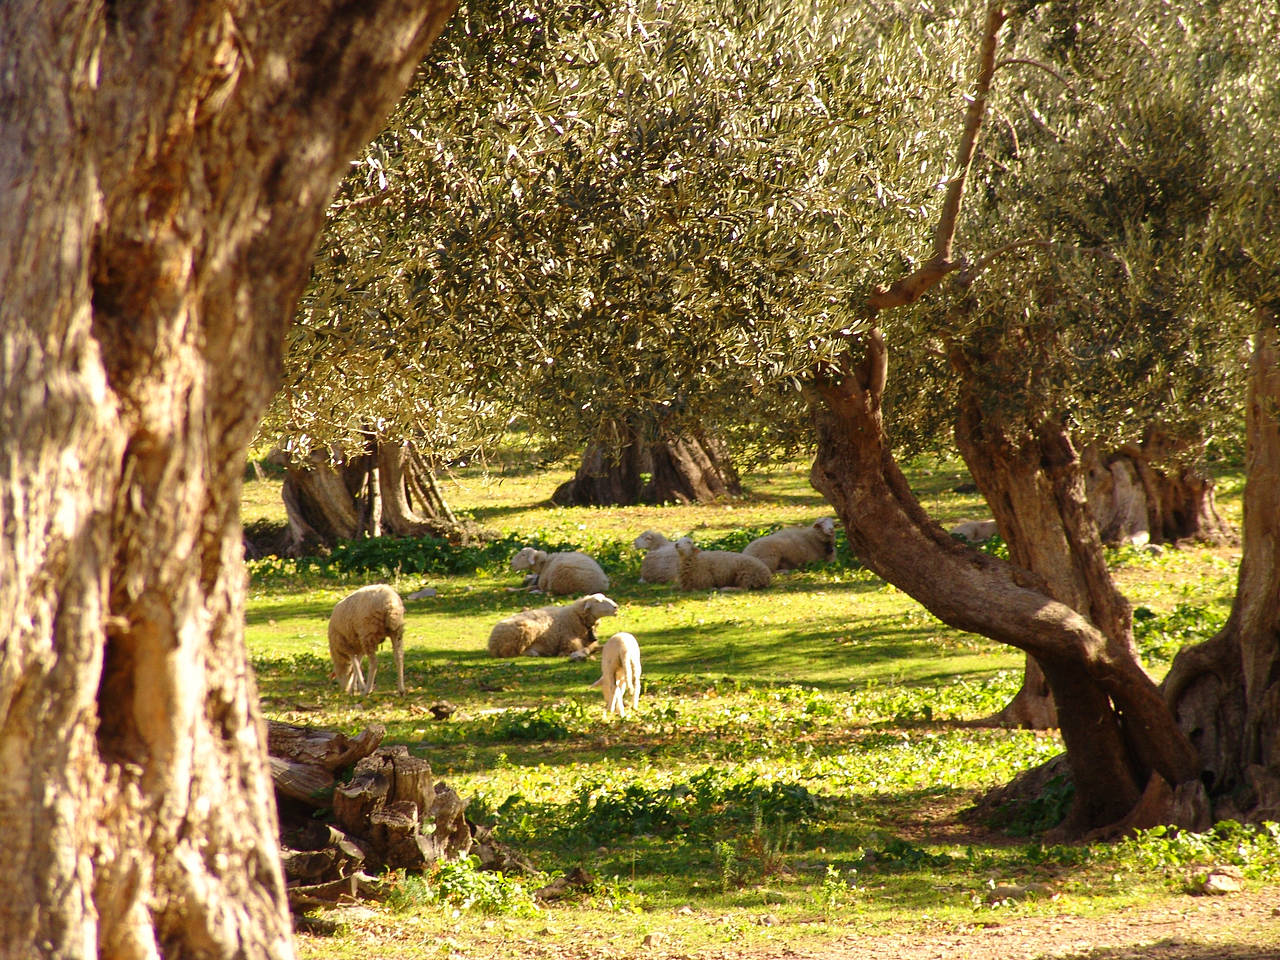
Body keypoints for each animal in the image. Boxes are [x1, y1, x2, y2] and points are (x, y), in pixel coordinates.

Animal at [483, 593, 619, 660]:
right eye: (597, 602)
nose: (616, 607)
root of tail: (492, 643)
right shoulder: (569, 644)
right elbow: (581, 650)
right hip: (525, 630)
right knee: (513, 653)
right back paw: (533, 653)